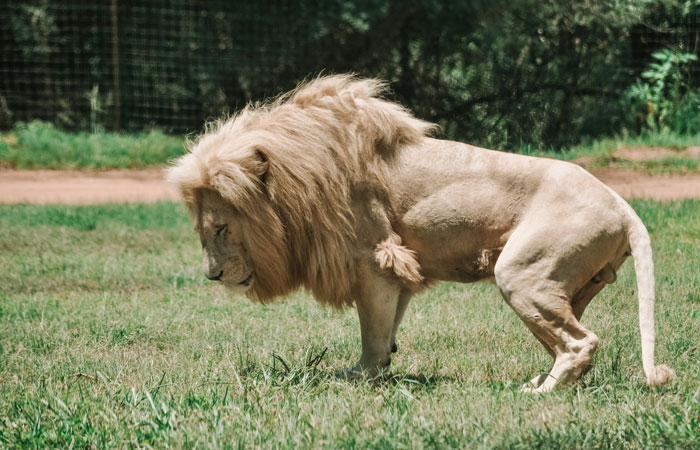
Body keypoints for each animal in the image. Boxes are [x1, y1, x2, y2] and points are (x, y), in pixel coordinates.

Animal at [167, 74, 676, 390]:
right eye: (201, 230)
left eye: (222, 228)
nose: (212, 276)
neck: (304, 174)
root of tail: (622, 204)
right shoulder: (398, 269)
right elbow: (389, 325)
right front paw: (381, 366)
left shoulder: (374, 261)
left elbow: (371, 334)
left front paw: (362, 378)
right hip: (563, 286)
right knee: (568, 340)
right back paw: (540, 381)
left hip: (521, 272)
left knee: (580, 342)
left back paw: (541, 393)